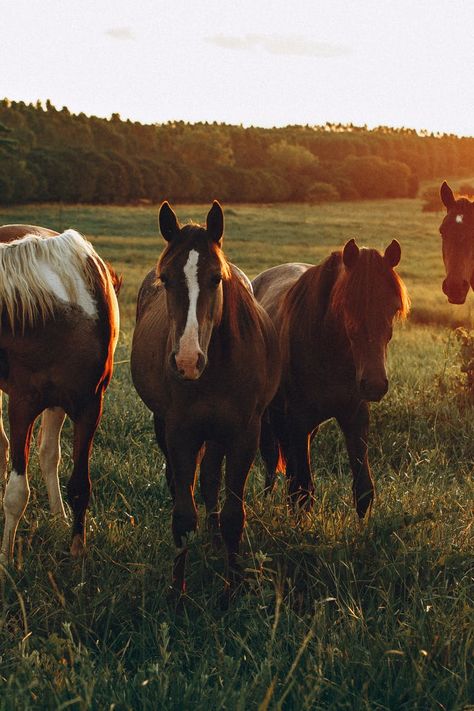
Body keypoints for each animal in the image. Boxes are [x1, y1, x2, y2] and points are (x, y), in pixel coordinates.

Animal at [0, 224, 120, 568]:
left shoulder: (89, 406)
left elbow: (80, 484)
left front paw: (77, 552)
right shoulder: (21, 405)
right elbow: (17, 493)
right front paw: (6, 560)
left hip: (57, 404)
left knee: (48, 454)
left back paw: (58, 516)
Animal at [131, 202, 282, 596]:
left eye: (216, 278)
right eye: (165, 278)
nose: (187, 361)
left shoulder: (244, 435)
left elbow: (232, 515)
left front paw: (232, 588)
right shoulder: (180, 432)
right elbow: (183, 516)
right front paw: (178, 592)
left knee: (212, 480)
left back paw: (215, 543)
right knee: (183, 483)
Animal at [254, 239, 410, 516]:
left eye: (393, 308)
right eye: (347, 305)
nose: (374, 384)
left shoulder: (354, 415)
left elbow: (363, 489)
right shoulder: (298, 418)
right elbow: (303, 490)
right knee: (272, 461)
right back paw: (265, 501)